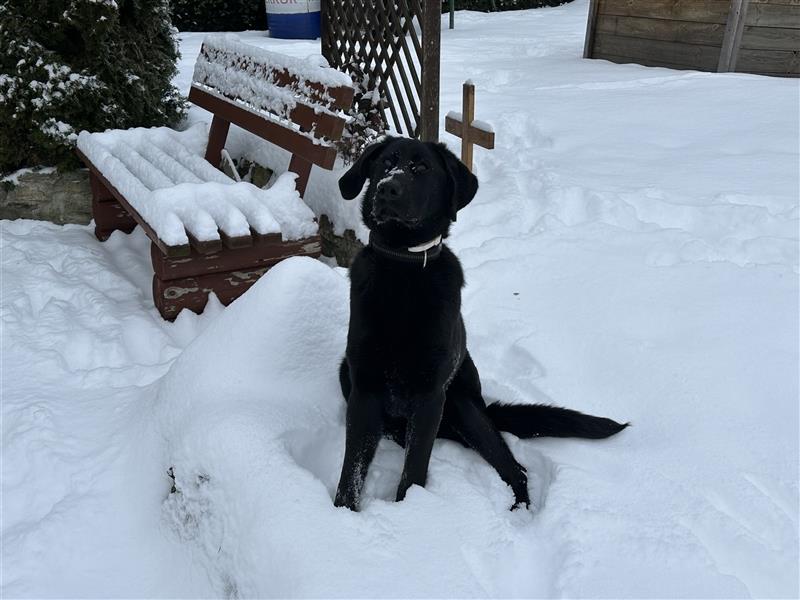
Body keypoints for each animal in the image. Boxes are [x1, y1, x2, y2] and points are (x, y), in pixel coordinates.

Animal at [332, 137, 624, 510]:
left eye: (421, 167)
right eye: (385, 163)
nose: (387, 188)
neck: (405, 268)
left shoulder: (431, 395)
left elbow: (414, 472)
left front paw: (409, 511)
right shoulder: (364, 390)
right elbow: (350, 474)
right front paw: (343, 516)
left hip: (462, 406)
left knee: (515, 468)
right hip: (347, 374)